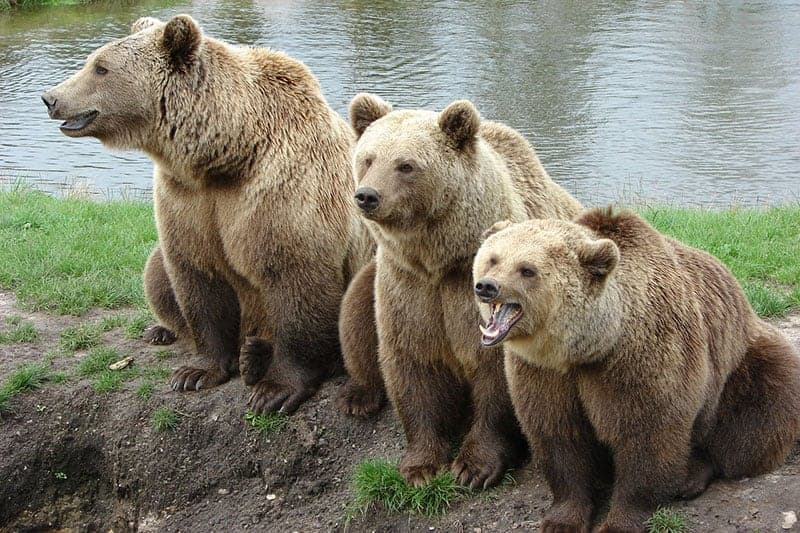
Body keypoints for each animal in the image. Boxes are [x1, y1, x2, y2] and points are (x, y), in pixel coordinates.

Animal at [42, 14, 374, 414]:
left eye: (100, 67)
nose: (50, 98)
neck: (227, 154)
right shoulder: (188, 200)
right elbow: (196, 277)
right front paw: (196, 372)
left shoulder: (284, 192)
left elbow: (295, 278)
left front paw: (275, 390)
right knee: (156, 271)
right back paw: (169, 332)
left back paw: (257, 355)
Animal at [340, 93, 583, 488]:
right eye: (368, 158)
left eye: (406, 165)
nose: (367, 196)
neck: (440, 259)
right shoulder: (408, 285)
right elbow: (412, 362)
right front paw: (421, 466)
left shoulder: (472, 292)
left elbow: (496, 375)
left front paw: (474, 466)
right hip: (371, 276)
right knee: (354, 313)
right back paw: (358, 396)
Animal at [472, 209, 800, 532]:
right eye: (493, 258)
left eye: (527, 270)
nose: (487, 286)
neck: (586, 348)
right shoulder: (543, 372)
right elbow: (560, 435)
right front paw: (562, 520)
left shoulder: (642, 357)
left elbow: (646, 435)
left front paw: (620, 521)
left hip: (741, 364)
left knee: (757, 416)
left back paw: (691, 474)